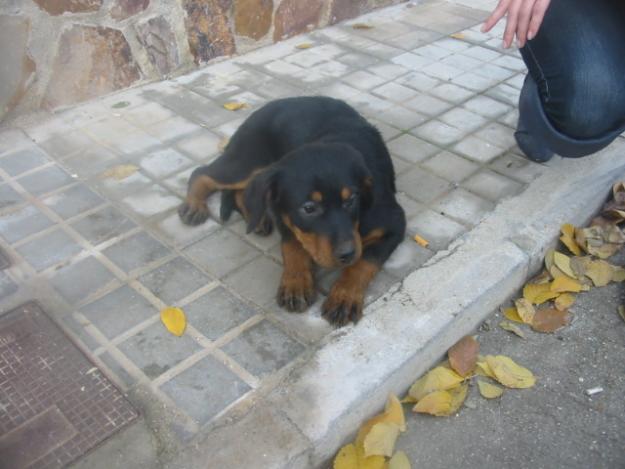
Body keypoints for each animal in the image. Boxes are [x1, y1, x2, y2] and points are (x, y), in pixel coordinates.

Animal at [178, 95, 408, 326]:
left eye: (351, 200)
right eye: (308, 208)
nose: (346, 253)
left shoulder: (395, 224)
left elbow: (364, 262)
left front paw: (345, 296)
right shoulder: (285, 215)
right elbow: (292, 245)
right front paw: (296, 283)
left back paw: (256, 218)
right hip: (248, 161)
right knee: (203, 173)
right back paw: (194, 206)